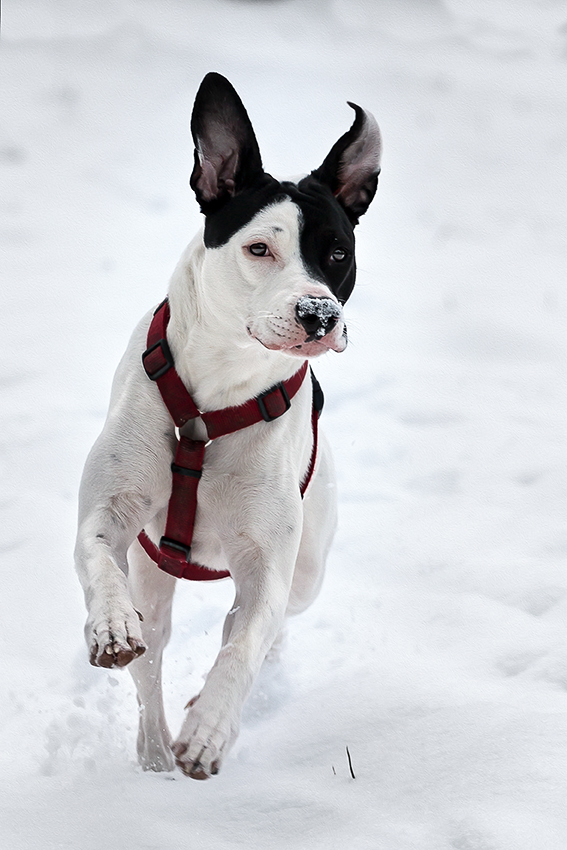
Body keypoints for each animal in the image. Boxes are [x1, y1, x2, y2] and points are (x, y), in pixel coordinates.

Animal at [73, 73, 380, 776]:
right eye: (258, 248)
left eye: (337, 253)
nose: (319, 314)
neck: (214, 395)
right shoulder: (111, 510)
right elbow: (98, 556)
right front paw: (111, 625)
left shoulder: (266, 564)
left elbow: (242, 647)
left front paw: (210, 729)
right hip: (155, 571)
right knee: (153, 654)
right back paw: (154, 749)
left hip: (307, 568)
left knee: (264, 628)